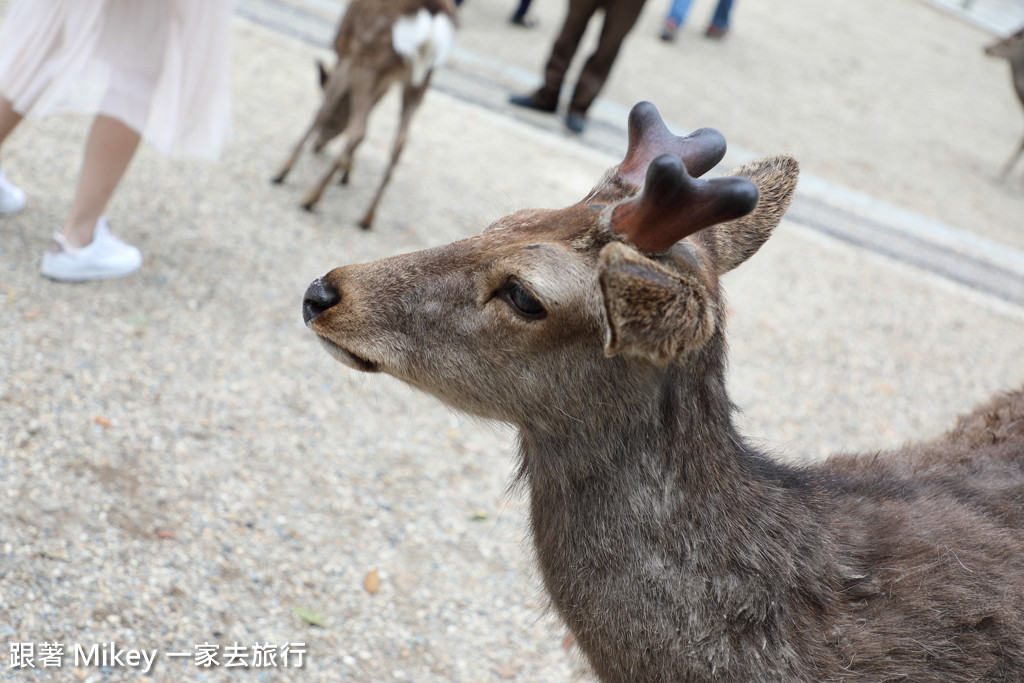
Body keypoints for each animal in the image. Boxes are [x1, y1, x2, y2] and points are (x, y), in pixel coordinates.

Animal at [272, 0, 456, 229]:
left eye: (334, 123)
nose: (318, 145)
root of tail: (432, 12)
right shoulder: (383, 82)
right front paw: (346, 173)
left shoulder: (347, 55)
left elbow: (324, 109)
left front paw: (281, 172)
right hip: (421, 80)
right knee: (399, 143)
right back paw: (367, 217)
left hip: (368, 60)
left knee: (359, 131)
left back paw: (311, 198)